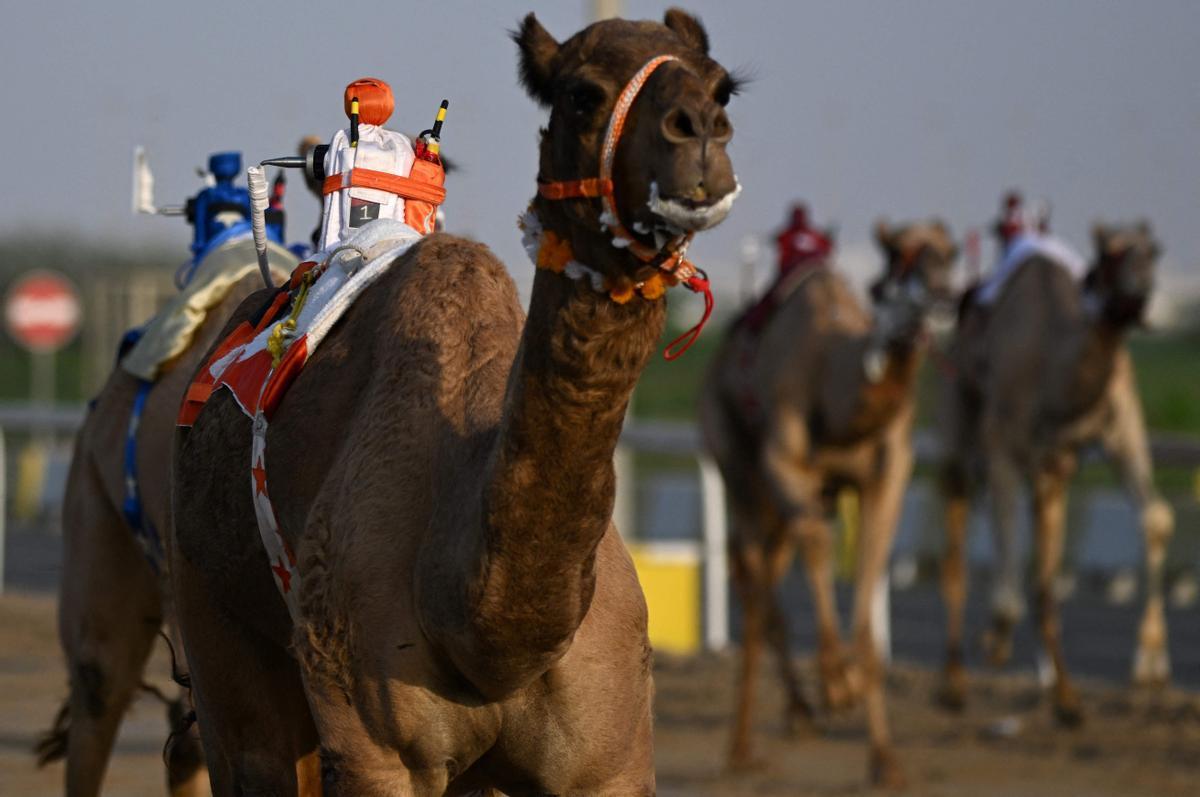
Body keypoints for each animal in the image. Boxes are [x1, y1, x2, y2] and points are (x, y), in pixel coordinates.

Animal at [170, 9, 739, 792]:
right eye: (581, 93)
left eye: (723, 87)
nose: (702, 135)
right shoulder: (379, 748)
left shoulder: (610, 756)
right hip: (213, 611)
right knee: (248, 742)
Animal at [696, 218, 955, 782]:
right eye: (899, 255)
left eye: (951, 255)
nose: (944, 297)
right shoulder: (784, 462)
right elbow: (817, 544)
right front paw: (838, 685)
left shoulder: (888, 475)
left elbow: (870, 570)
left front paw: (885, 760)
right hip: (734, 455)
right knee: (755, 581)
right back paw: (745, 745)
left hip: (778, 503)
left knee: (765, 570)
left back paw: (793, 716)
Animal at [936, 222, 1171, 720]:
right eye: (1111, 252)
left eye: (1154, 251)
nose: (1142, 286)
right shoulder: (1002, 444)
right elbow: (1009, 587)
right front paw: (993, 642)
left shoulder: (1097, 439)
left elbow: (1153, 518)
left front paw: (1147, 665)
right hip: (958, 412)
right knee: (955, 538)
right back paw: (953, 685)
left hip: (1051, 467)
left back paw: (1065, 695)